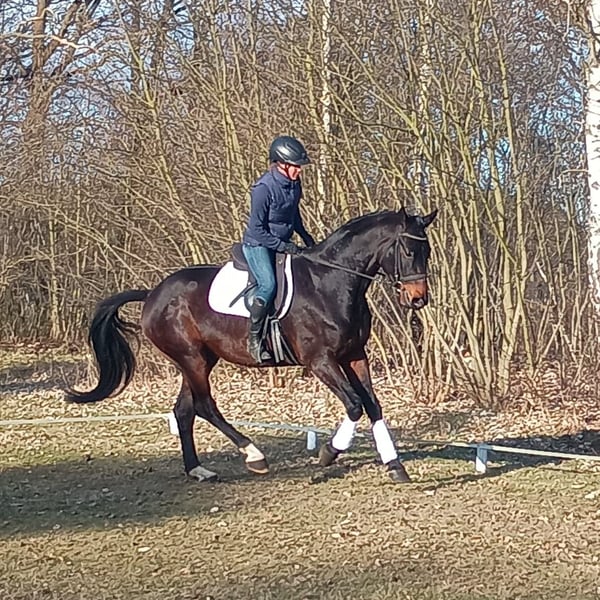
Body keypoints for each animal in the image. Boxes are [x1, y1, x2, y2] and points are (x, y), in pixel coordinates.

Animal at [67, 208, 437, 483]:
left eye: (427, 251)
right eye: (408, 251)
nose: (418, 299)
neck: (331, 282)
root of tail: (153, 294)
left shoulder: (355, 355)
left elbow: (373, 405)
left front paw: (395, 465)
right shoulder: (321, 361)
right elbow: (355, 405)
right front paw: (328, 454)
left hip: (199, 359)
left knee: (185, 410)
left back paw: (198, 470)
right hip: (191, 358)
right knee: (205, 406)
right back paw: (253, 455)